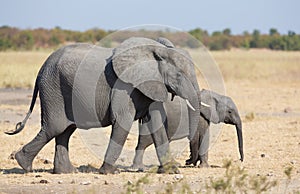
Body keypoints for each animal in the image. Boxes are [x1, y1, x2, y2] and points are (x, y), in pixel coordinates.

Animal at [5, 36, 202, 174]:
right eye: (179, 76)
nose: (188, 162)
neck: (155, 50)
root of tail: (41, 69)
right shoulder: (124, 86)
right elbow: (122, 121)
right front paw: (110, 172)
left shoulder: (151, 84)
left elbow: (157, 122)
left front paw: (171, 171)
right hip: (54, 90)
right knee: (54, 127)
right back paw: (24, 164)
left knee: (65, 131)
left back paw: (67, 172)